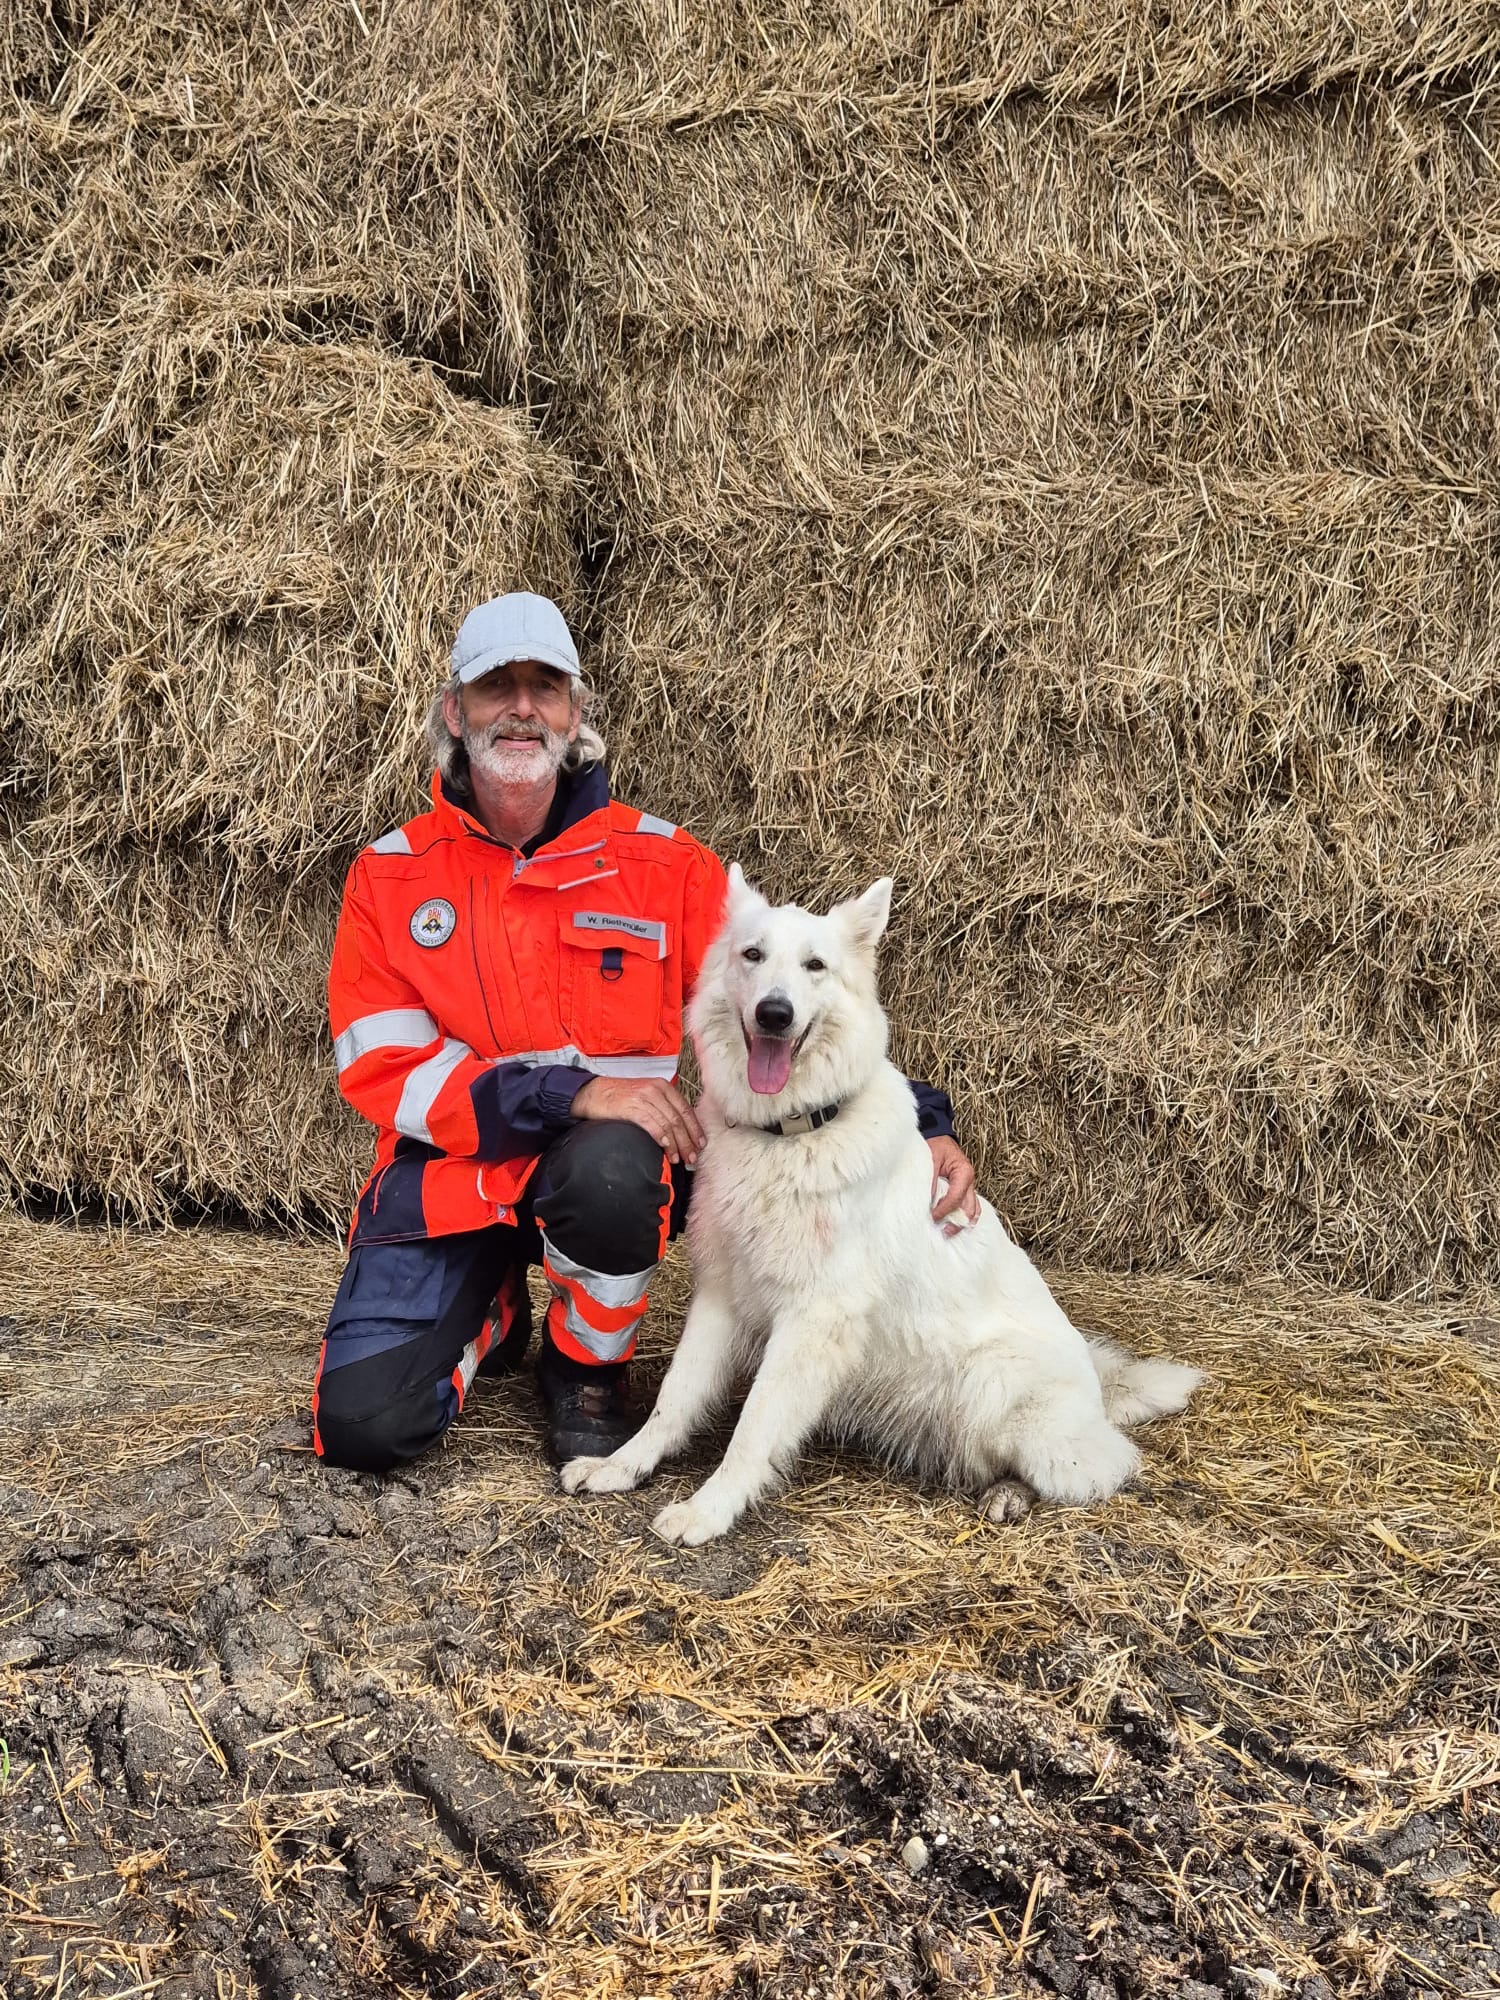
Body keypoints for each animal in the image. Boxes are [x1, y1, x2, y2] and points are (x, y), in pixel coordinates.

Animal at [561, 867, 1202, 1545]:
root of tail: (1098, 1386)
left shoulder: (813, 1320)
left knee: (1102, 1467)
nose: (774, 1013)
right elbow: (674, 1398)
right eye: (753, 955)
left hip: (995, 1386)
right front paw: (620, 1466)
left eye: (815, 965)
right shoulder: (722, 1294)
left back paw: (1011, 1495)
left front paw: (709, 1509)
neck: (791, 1133)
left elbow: (753, 1427)